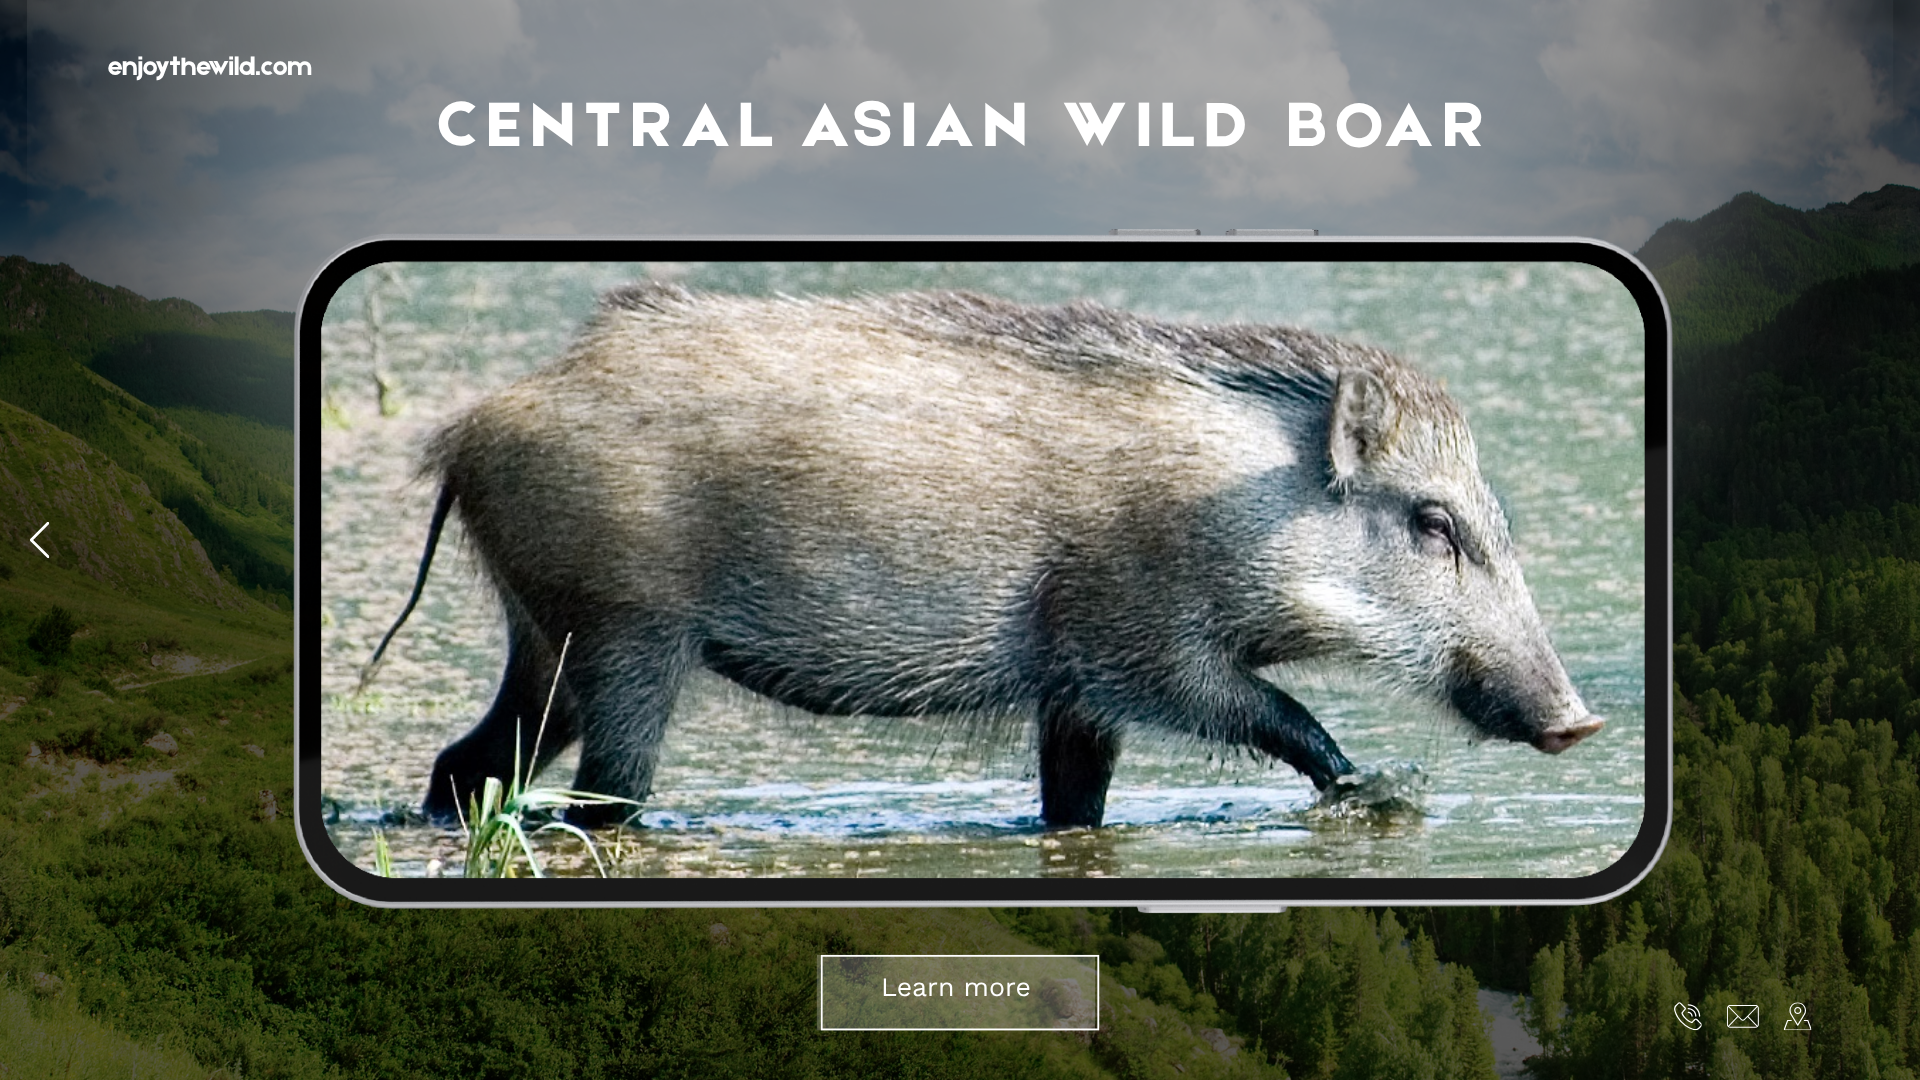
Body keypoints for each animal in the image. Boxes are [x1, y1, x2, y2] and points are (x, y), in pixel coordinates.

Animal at [360, 282, 1604, 830]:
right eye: (1432, 521)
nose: (1581, 722)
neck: (1239, 506)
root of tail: (473, 427)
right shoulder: (1141, 650)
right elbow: (1276, 713)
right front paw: (1366, 788)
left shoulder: (1077, 694)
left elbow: (1075, 807)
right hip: (624, 634)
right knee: (602, 797)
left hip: (548, 639)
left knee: (468, 764)